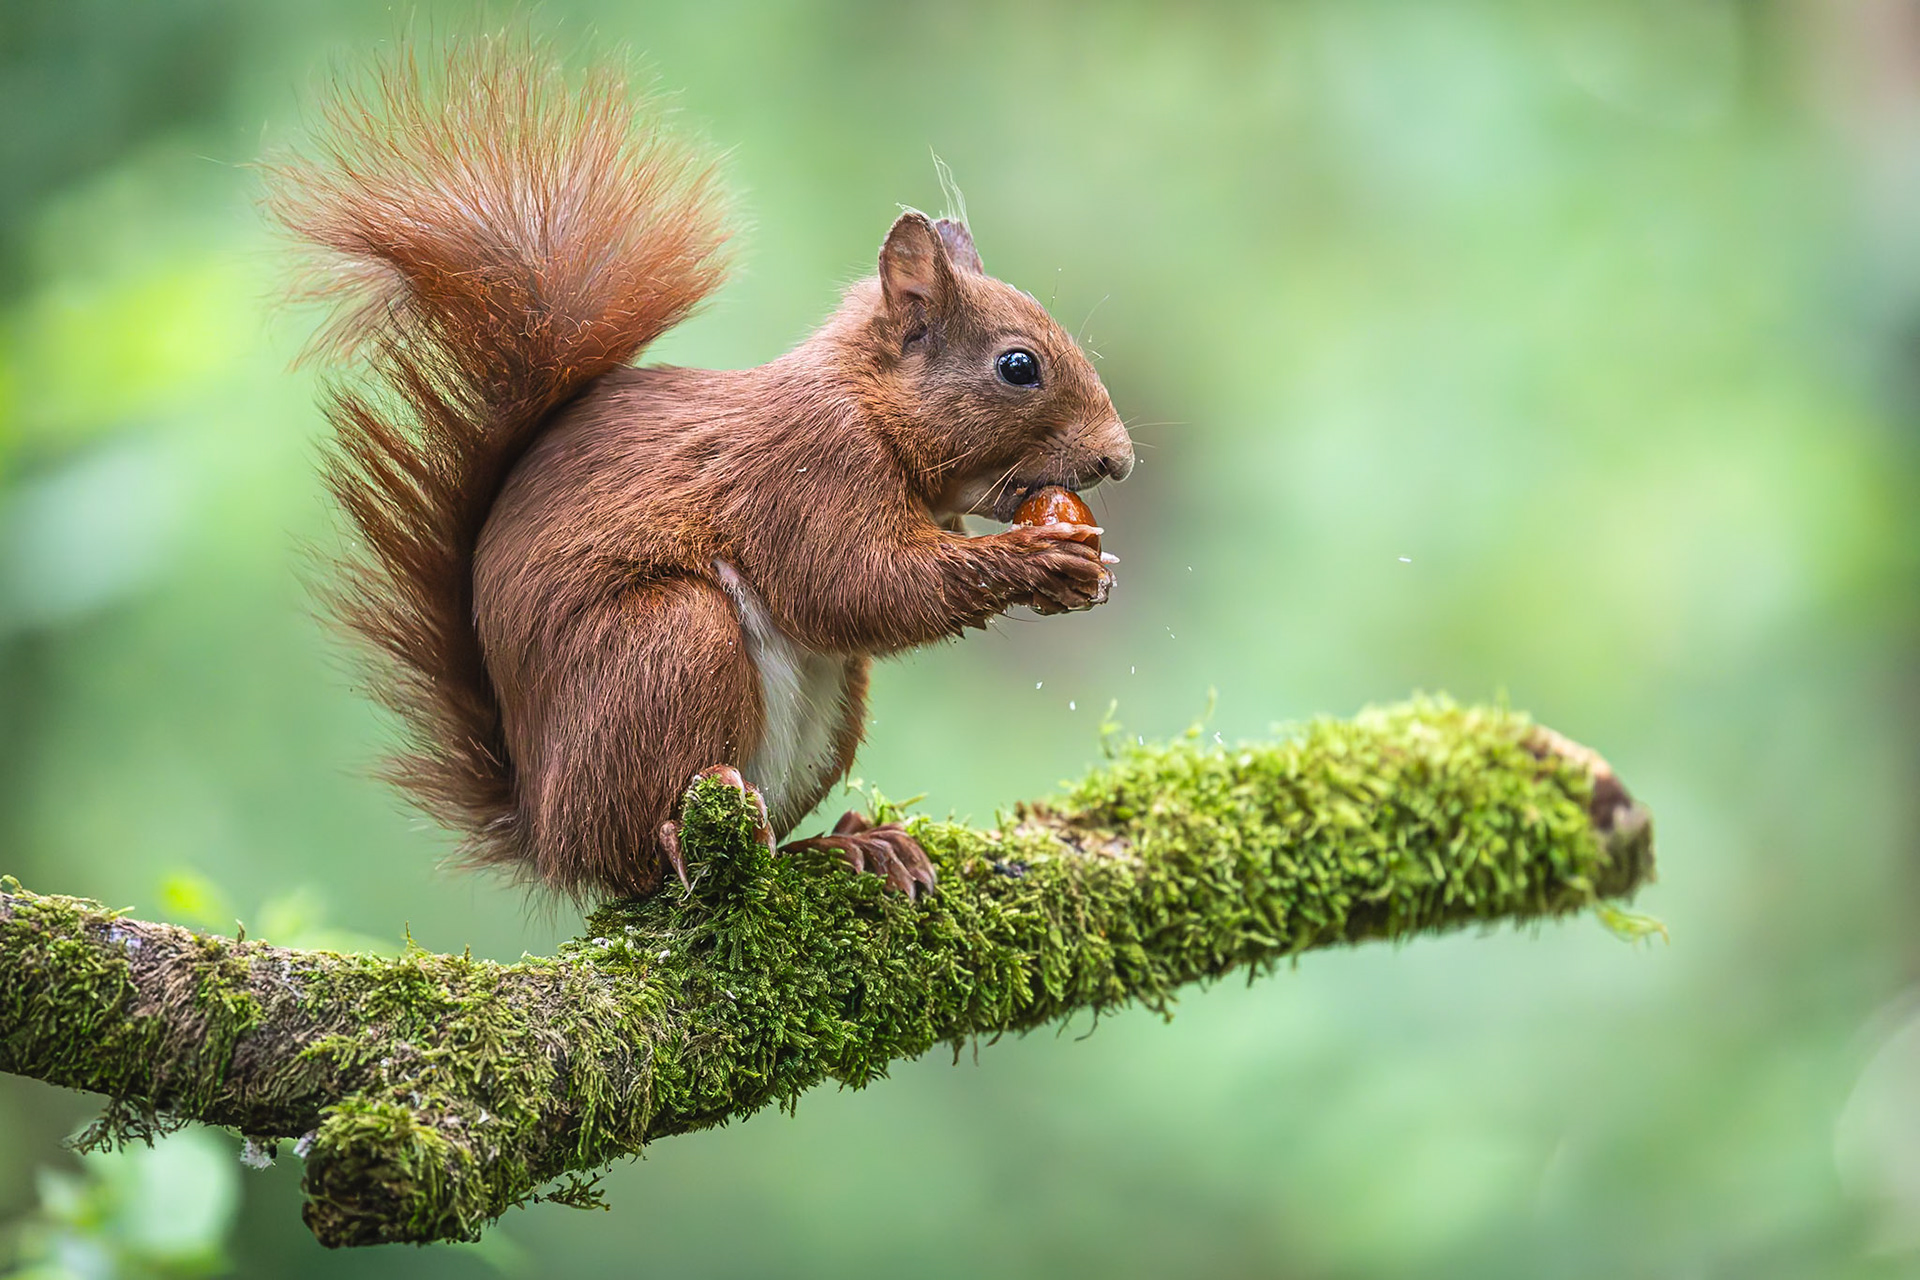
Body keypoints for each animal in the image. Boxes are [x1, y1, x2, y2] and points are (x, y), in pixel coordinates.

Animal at [268, 39, 1133, 903]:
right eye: (1018, 366)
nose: (1118, 460)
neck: (867, 403)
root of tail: (543, 831)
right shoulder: (808, 470)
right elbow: (857, 585)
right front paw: (1035, 558)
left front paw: (1090, 575)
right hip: (670, 646)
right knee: (636, 859)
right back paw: (687, 838)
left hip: (826, 711)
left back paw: (850, 845)